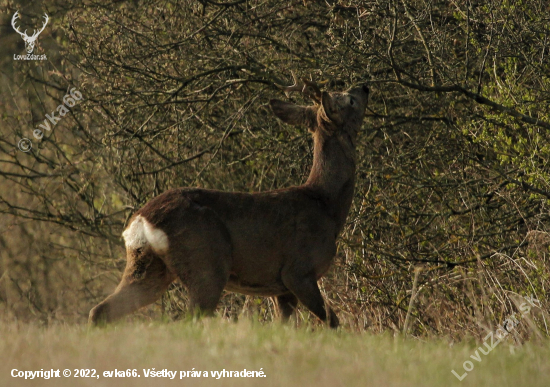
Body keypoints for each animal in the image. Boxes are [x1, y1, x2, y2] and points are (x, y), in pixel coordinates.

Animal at [90, 74, 370, 328]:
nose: (365, 86)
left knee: (101, 310)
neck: (326, 205)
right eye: (350, 100)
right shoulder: (298, 271)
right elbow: (333, 321)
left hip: (147, 266)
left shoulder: (280, 289)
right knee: (189, 317)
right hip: (206, 263)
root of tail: (141, 220)